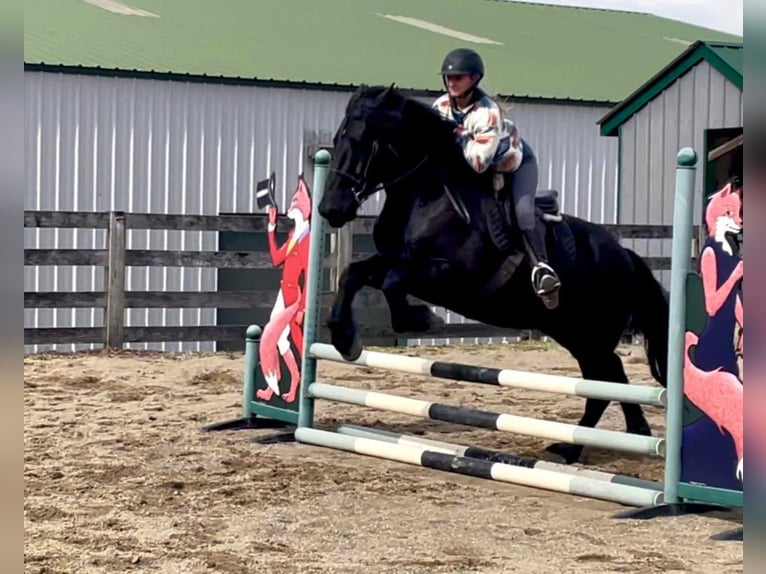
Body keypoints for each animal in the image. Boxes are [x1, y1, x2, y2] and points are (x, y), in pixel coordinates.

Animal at [316, 85, 668, 466]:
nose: (330, 209)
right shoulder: (394, 260)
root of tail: (625, 256)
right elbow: (353, 275)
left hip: (591, 333)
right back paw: (613, 438)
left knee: (605, 381)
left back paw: (582, 447)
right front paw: (345, 338)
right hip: (573, 333)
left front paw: (421, 318)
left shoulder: (450, 276)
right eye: (336, 140)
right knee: (609, 376)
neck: (429, 195)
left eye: (364, 140)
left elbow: (394, 282)